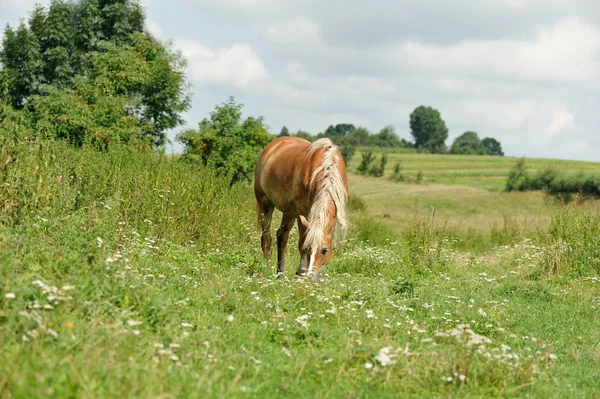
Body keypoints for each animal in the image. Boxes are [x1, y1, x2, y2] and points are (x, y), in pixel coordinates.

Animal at [252, 138, 346, 282]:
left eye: (324, 250)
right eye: (309, 247)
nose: (311, 277)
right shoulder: (302, 213)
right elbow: (301, 243)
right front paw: (301, 272)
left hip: (289, 211)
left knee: (282, 236)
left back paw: (281, 273)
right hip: (265, 204)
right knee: (266, 239)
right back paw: (266, 269)